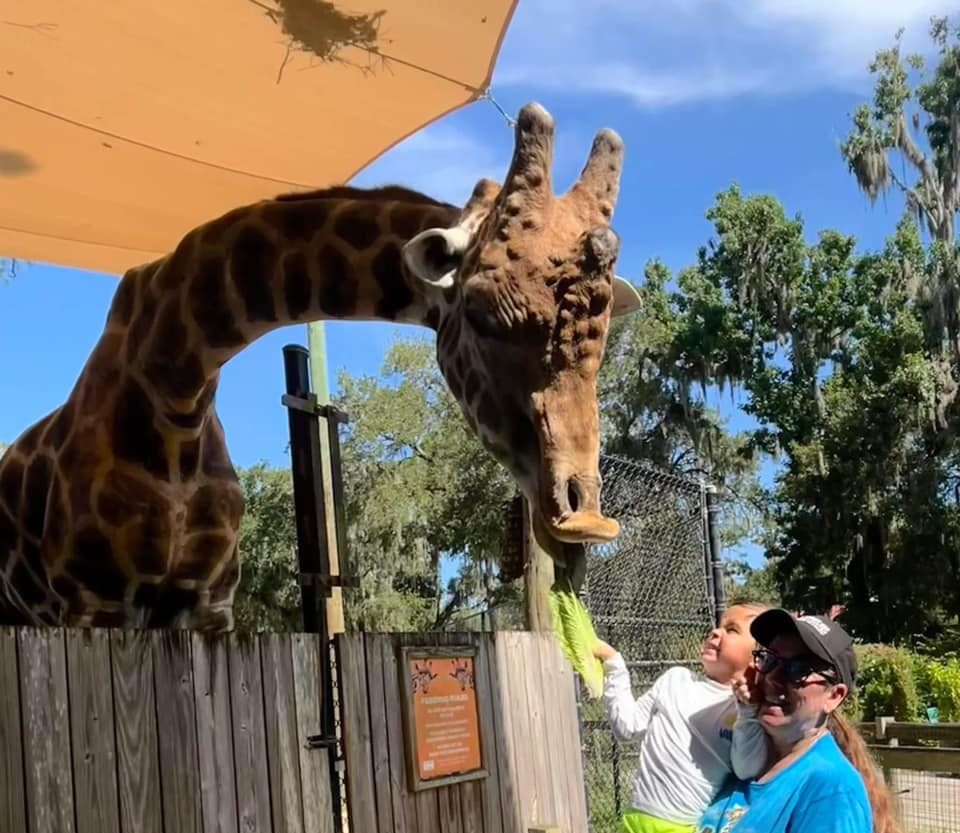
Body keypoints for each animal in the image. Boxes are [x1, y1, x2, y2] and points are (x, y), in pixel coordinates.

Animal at [0, 102, 640, 632]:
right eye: (483, 313)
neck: (175, 389)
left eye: (606, 335)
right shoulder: (93, 600)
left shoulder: (207, 603)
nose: (586, 522)